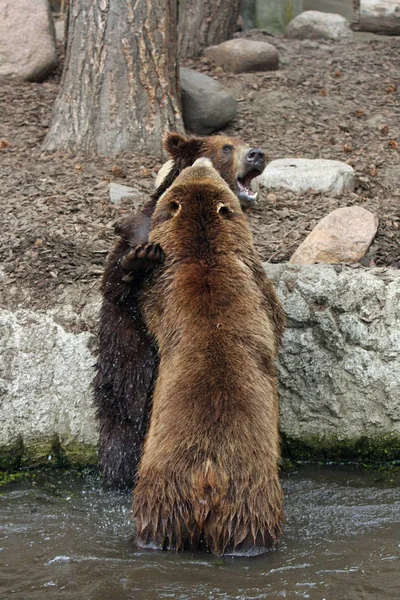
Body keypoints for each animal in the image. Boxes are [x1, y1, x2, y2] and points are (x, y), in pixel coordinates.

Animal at [94, 131, 268, 488]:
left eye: (241, 141)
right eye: (226, 147)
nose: (257, 155)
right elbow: (119, 283)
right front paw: (138, 259)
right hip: (118, 381)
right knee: (120, 430)